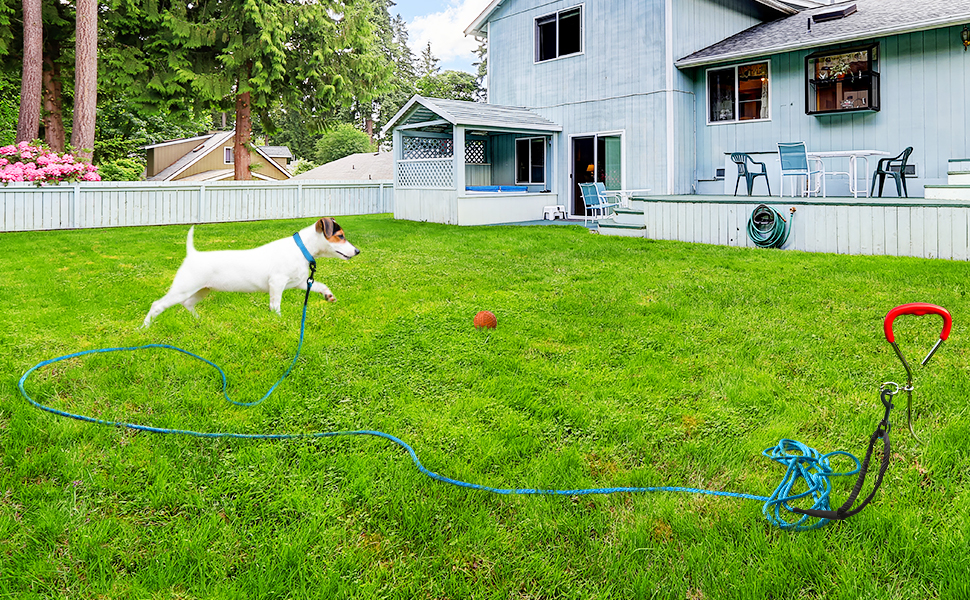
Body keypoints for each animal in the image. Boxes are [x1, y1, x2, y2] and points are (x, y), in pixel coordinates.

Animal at [142, 217, 358, 328]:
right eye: (340, 236)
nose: (357, 251)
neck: (301, 248)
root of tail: (192, 254)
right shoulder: (277, 284)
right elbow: (275, 306)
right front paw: (278, 322)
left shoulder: (299, 282)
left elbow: (320, 285)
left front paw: (328, 295)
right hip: (183, 288)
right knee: (157, 305)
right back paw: (143, 329)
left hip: (202, 290)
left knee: (188, 304)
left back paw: (201, 322)